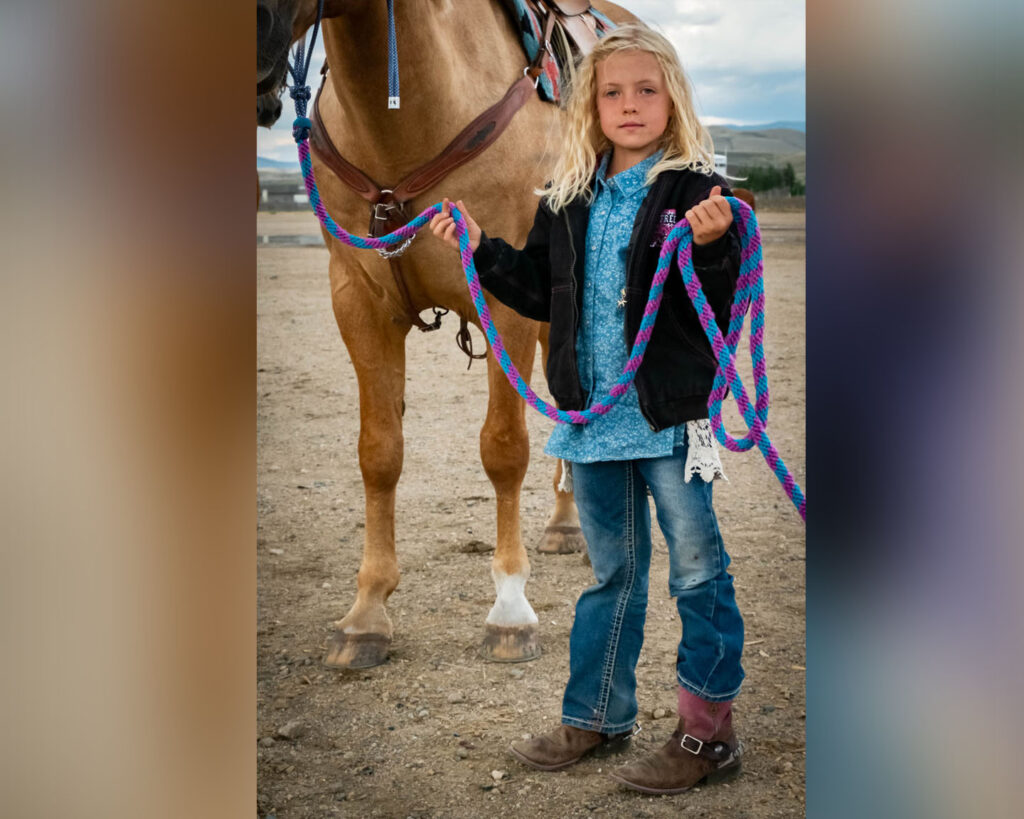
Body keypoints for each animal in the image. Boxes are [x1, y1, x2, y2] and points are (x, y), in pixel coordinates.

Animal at [260, 0, 634, 667]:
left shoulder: (505, 306)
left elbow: (504, 449)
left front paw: (509, 608)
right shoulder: (356, 301)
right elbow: (379, 452)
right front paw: (366, 613)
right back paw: (567, 525)